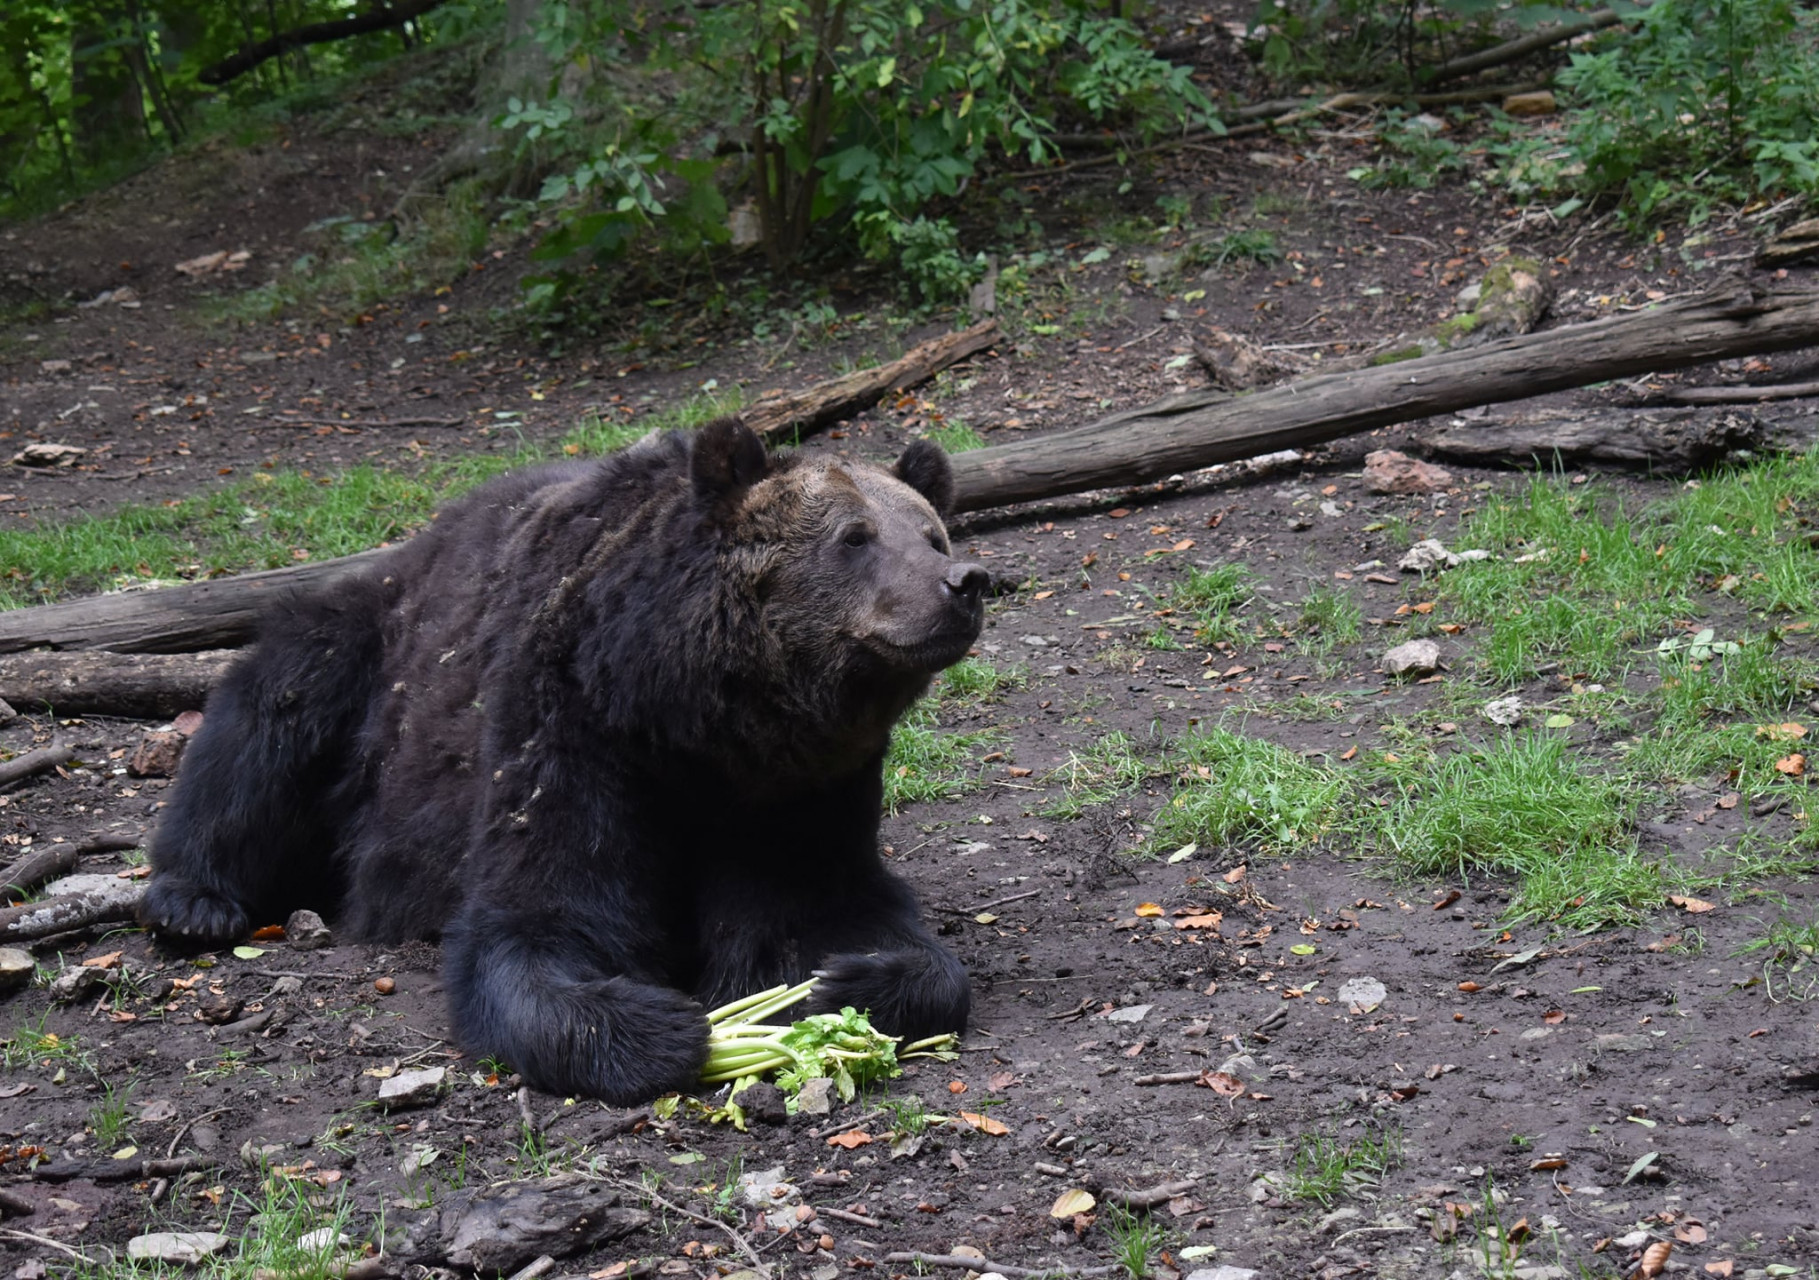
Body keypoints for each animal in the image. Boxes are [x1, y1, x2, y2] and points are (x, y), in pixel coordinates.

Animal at [138, 420, 996, 1098]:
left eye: (931, 534)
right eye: (853, 537)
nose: (962, 582)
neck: (695, 720)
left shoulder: (799, 785)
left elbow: (825, 908)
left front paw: (847, 983)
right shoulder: (570, 724)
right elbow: (544, 916)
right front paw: (657, 1024)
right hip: (370, 658)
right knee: (271, 714)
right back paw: (193, 899)